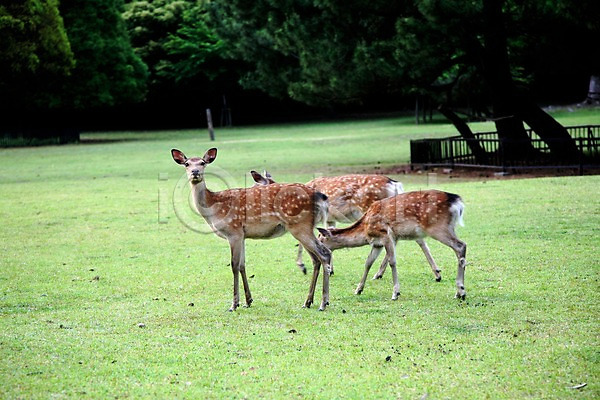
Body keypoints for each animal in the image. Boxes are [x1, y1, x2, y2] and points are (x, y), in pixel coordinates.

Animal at [172, 148, 332, 310]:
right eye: (187, 164)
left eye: (202, 162)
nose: (195, 172)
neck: (214, 208)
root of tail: (320, 196)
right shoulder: (242, 235)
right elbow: (242, 265)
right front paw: (248, 301)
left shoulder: (233, 231)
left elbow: (234, 265)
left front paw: (234, 304)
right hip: (305, 227)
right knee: (316, 259)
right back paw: (308, 302)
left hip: (300, 225)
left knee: (324, 254)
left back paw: (323, 303)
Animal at [251, 171, 442, 282]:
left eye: (255, 186)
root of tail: (395, 184)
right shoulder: (329, 219)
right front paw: (330, 268)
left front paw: (304, 266)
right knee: (414, 239)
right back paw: (436, 272)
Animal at [316, 191, 466, 300]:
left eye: (321, 240)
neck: (365, 229)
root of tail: (457, 202)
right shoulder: (377, 243)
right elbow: (368, 262)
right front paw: (358, 289)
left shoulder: (386, 234)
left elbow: (392, 261)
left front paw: (395, 293)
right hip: (449, 228)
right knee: (459, 248)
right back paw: (458, 291)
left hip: (438, 228)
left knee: (461, 245)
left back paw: (461, 291)